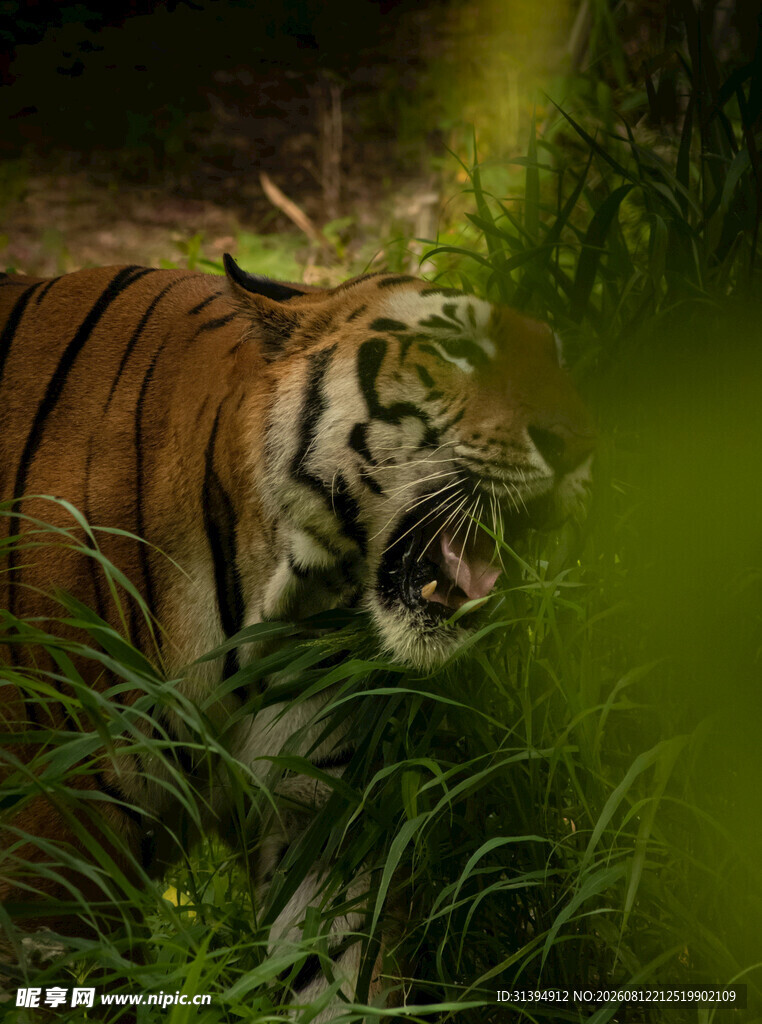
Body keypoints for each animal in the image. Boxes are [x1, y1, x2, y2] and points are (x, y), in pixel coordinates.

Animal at [0, 255, 594, 1016]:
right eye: (458, 347)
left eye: (558, 361)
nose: (580, 445)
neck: (282, 592)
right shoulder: (53, 844)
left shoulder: (315, 820)